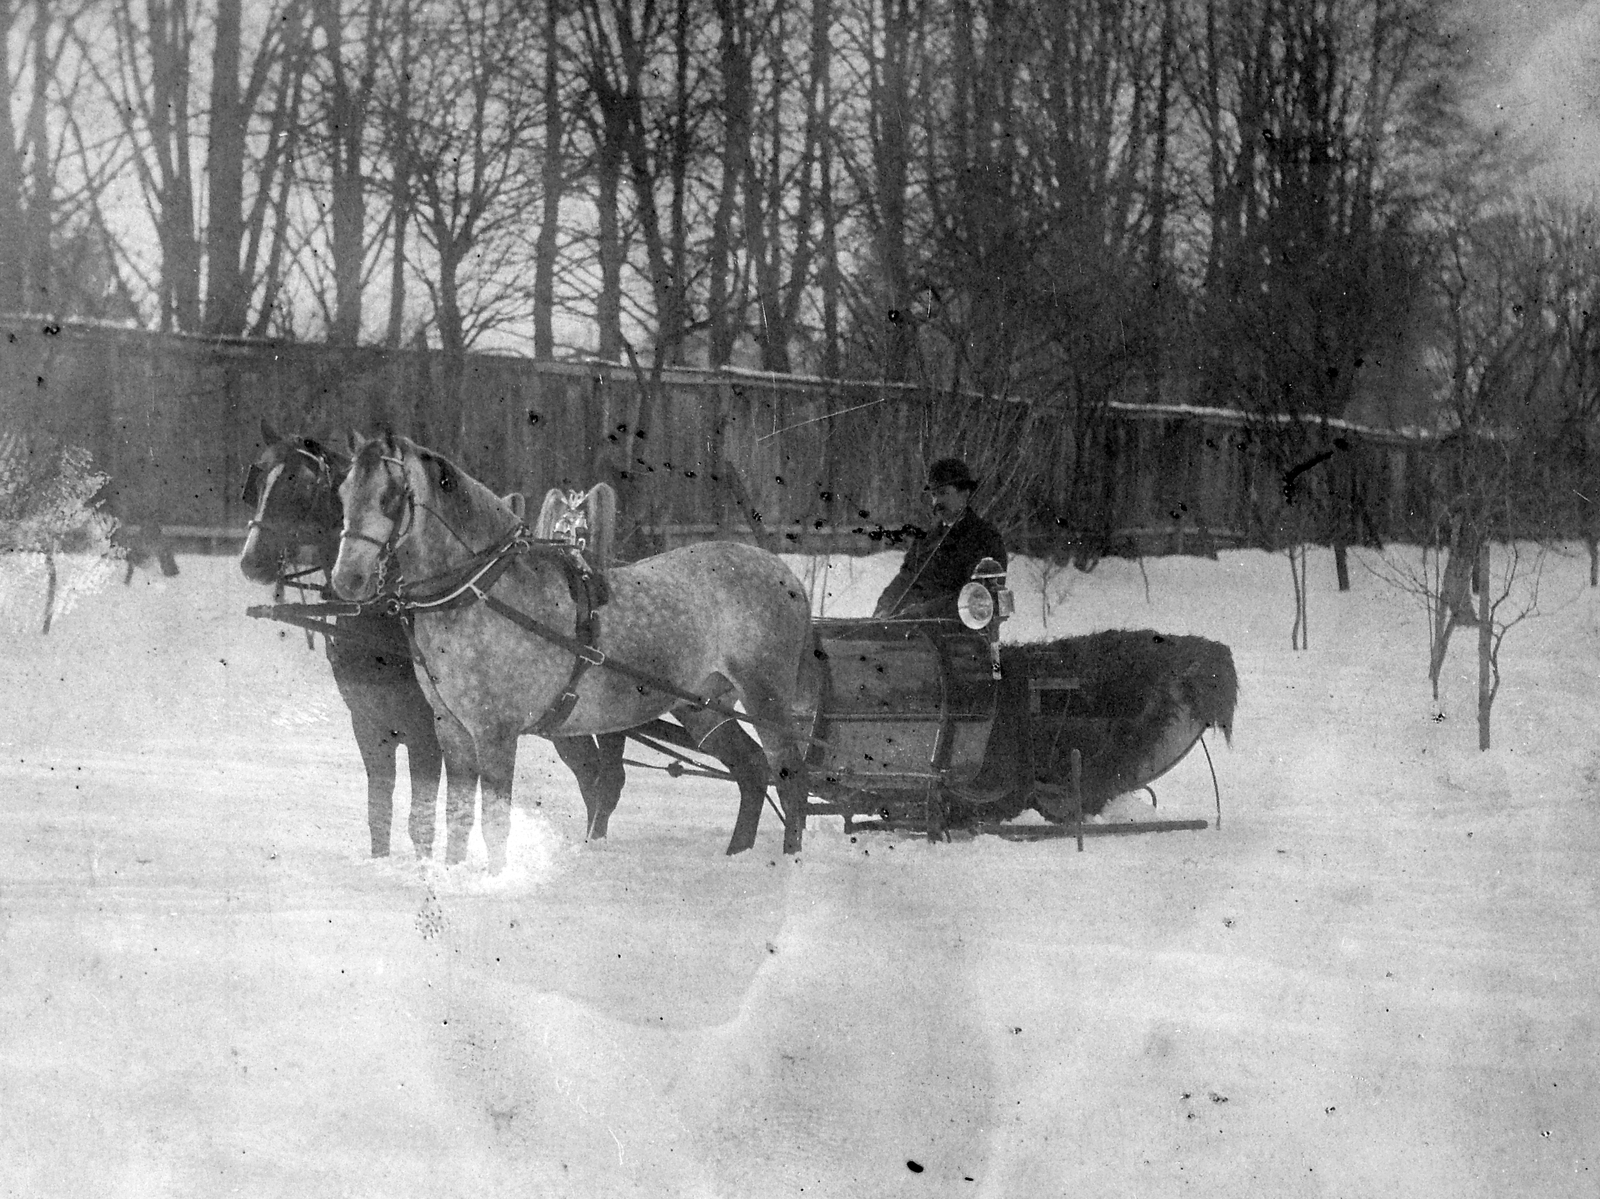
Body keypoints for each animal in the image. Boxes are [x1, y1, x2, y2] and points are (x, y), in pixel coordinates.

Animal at [331, 429, 819, 870]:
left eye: (389, 497)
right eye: (343, 492)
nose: (347, 580)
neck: (482, 591)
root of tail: (786, 574)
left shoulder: (495, 732)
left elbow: (495, 822)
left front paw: (495, 882)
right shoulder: (450, 728)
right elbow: (458, 816)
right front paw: (452, 877)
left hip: (765, 699)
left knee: (790, 777)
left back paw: (791, 863)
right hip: (702, 706)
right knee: (751, 768)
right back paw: (737, 856)